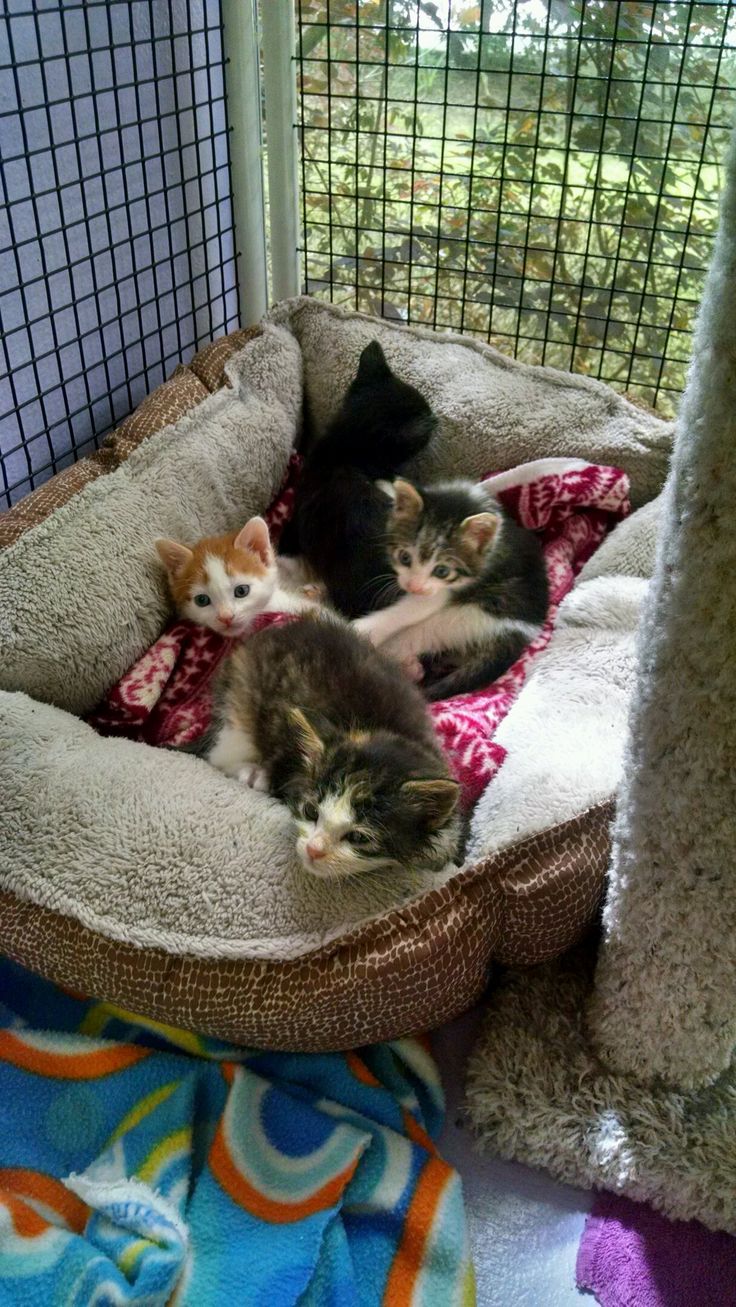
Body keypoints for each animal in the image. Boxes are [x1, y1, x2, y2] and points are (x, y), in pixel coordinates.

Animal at [198, 611, 457, 878]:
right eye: (312, 811)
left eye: (358, 838)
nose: (314, 850)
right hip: (240, 703)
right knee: (220, 753)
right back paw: (253, 773)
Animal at [352, 478, 549, 700]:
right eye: (404, 557)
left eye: (442, 571)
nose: (413, 586)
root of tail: (524, 632)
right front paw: (388, 487)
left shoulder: (449, 589)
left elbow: (414, 608)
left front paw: (361, 627)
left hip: (468, 617)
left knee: (415, 637)